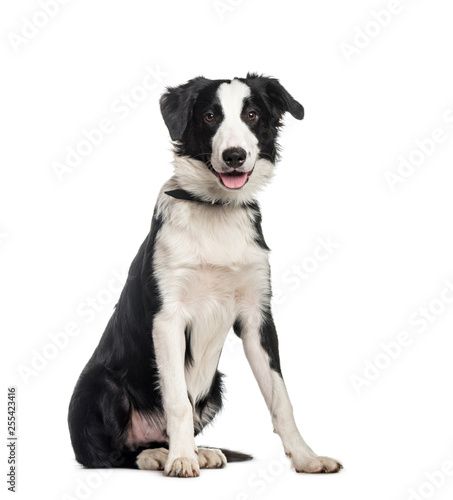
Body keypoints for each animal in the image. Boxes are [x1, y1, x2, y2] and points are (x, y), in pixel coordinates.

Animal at [68, 73, 342, 476]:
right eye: (210, 116)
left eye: (252, 115)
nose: (234, 156)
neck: (216, 208)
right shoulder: (167, 318)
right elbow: (177, 401)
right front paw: (181, 459)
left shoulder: (258, 316)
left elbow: (281, 398)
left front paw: (306, 457)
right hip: (100, 386)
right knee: (112, 456)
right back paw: (160, 454)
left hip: (216, 386)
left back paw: (199, 451)